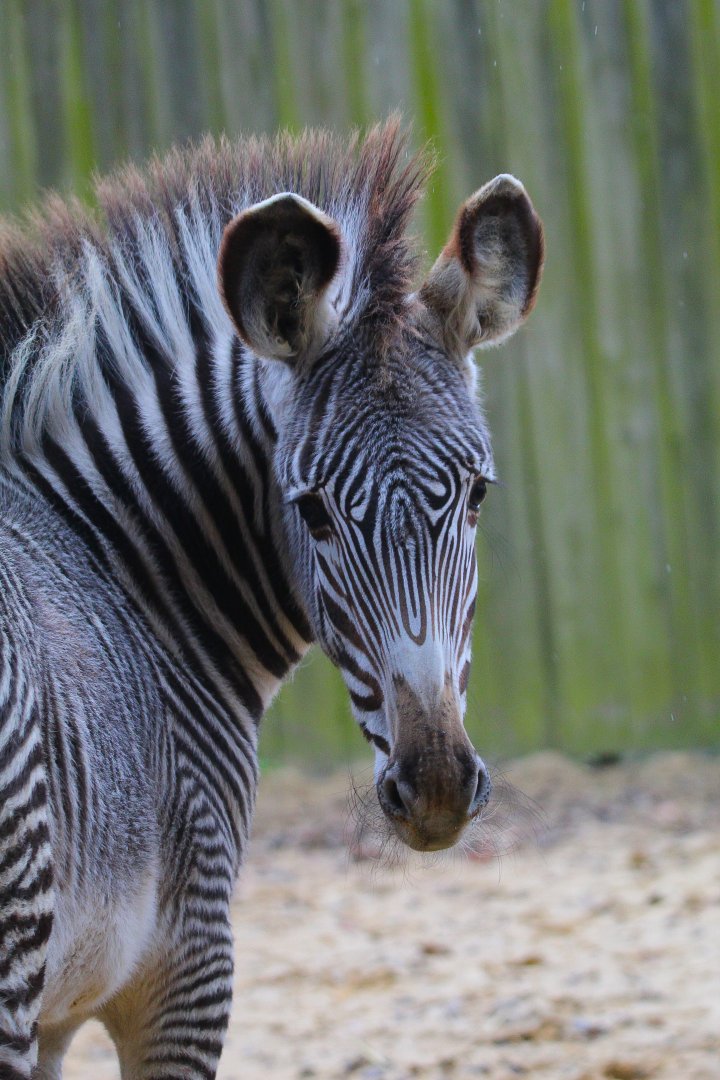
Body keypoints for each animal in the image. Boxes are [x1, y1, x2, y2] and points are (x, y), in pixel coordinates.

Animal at [0, 121, 543, 1078]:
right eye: (313, 510)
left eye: (478, 495)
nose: (438, 789)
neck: (119, 568)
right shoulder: (187, 970)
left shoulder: (58, 1015)